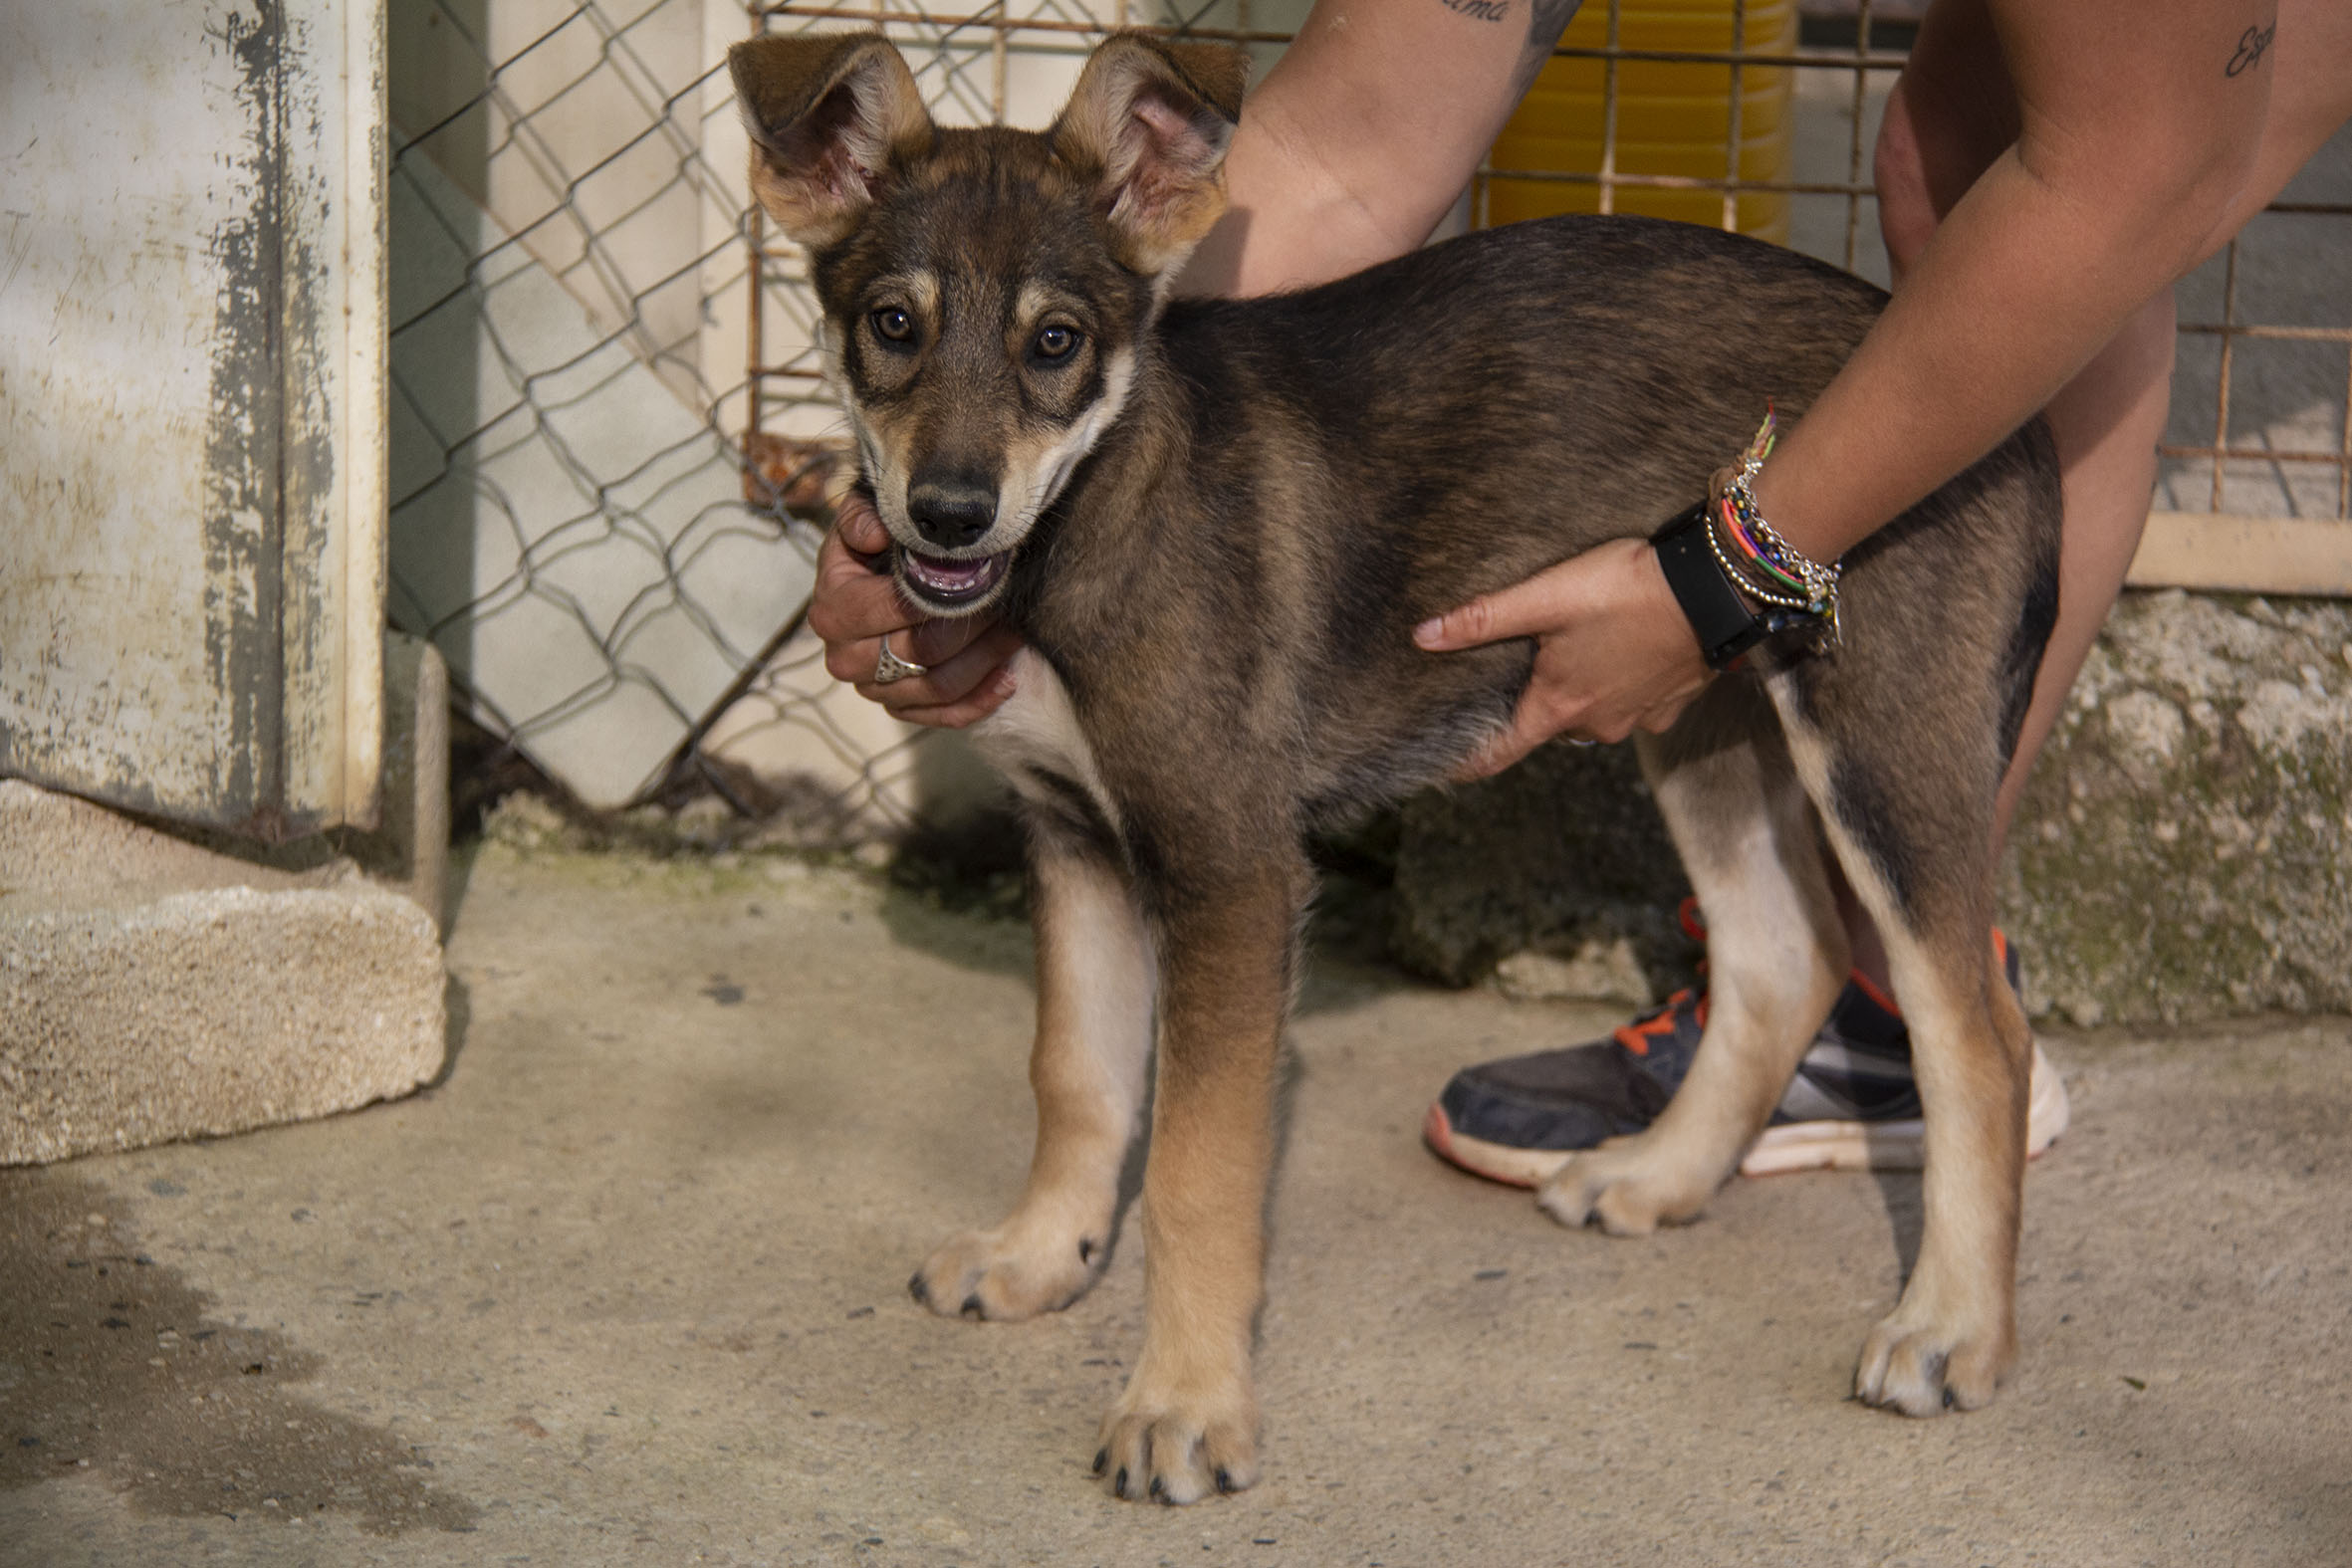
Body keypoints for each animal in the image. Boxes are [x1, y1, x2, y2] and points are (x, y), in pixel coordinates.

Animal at [730, 30, 2062, 1504]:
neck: (1089, 517)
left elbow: (1195, 1165)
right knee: (1783, 957)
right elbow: (1075, 1075)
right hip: (1695, 707)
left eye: (1056, 343)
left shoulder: (1228, 866)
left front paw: (1184, 1404)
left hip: (1880, 739)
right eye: (891, 325)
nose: (949, 516)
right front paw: (1039, 1255)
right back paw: (1658, 1174)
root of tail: (2019, 420)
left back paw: (1951, 1327)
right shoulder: (1074, 834)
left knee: (1977, 1035)